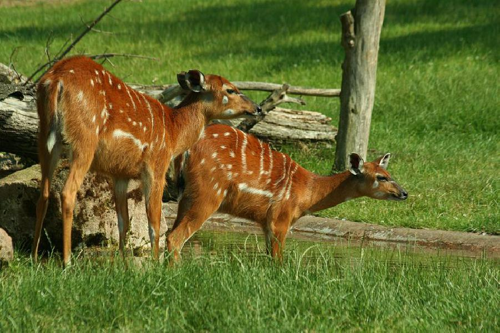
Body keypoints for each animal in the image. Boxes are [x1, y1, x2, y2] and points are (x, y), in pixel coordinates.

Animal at [31, 56, 260, 264]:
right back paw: (67, 262)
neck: (174, 132)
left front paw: (123, 264)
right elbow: (154, 221)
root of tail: (55, 81)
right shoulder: (156, 164)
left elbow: (123, 220)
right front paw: (156, 264)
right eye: (230, 89)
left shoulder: (120, 174)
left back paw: (34, 258)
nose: (257, 108)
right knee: (67, 192)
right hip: (85, 138)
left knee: (43, 193)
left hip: (45, 137)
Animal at [166, 124, 408, 260]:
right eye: (381, 177)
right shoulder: (279, 219)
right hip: (208, 193)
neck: (307, 192)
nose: (404, 193)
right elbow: (278, 260)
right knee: (175, 238)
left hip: (185, 196)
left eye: (388, 172)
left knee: (168, 232)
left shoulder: (266, 223)